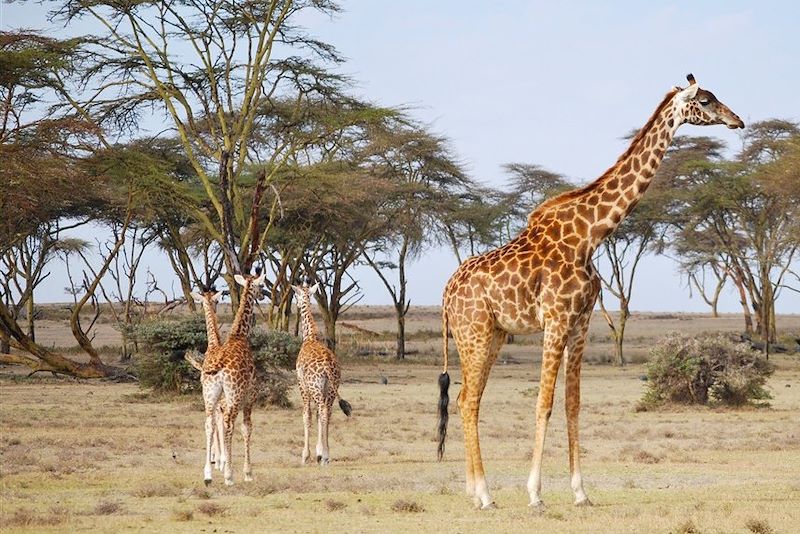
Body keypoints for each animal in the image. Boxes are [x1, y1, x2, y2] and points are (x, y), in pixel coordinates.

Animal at [200, 272, 266, 486]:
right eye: (261, 284)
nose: (263, 294)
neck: (239, 335)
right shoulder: (249, 396)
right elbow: (246, 428)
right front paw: (248, 473)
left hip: (210, 395)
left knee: (209, 423)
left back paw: (208, 475)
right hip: (234, 395)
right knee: (228, 422)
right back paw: (228, 475)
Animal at [290, 282, 348, 466]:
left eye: (296, 295)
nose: (296, 304)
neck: (310, 337)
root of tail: (328, 367)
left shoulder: (302, 385)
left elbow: (307, 415)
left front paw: (306, 455)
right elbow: (315, 416)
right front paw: (318, 450)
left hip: (316, 388)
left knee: (322, 411)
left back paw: (324, 456)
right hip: (331, 389)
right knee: (326, 413)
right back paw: (325, 454)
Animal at [438, 74, 744, 510]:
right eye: (705, 100)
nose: (737, 120)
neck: (591, 235)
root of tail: (446, 293)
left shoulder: (581, 323)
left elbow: (573, 404)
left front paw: (580, 492)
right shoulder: (556, 321)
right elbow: (544, 403)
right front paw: (535, 494)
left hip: (491, 335)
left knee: (468, 399)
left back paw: (475, 491)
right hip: (474, 333)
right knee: (469, 401)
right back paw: (484, 494)